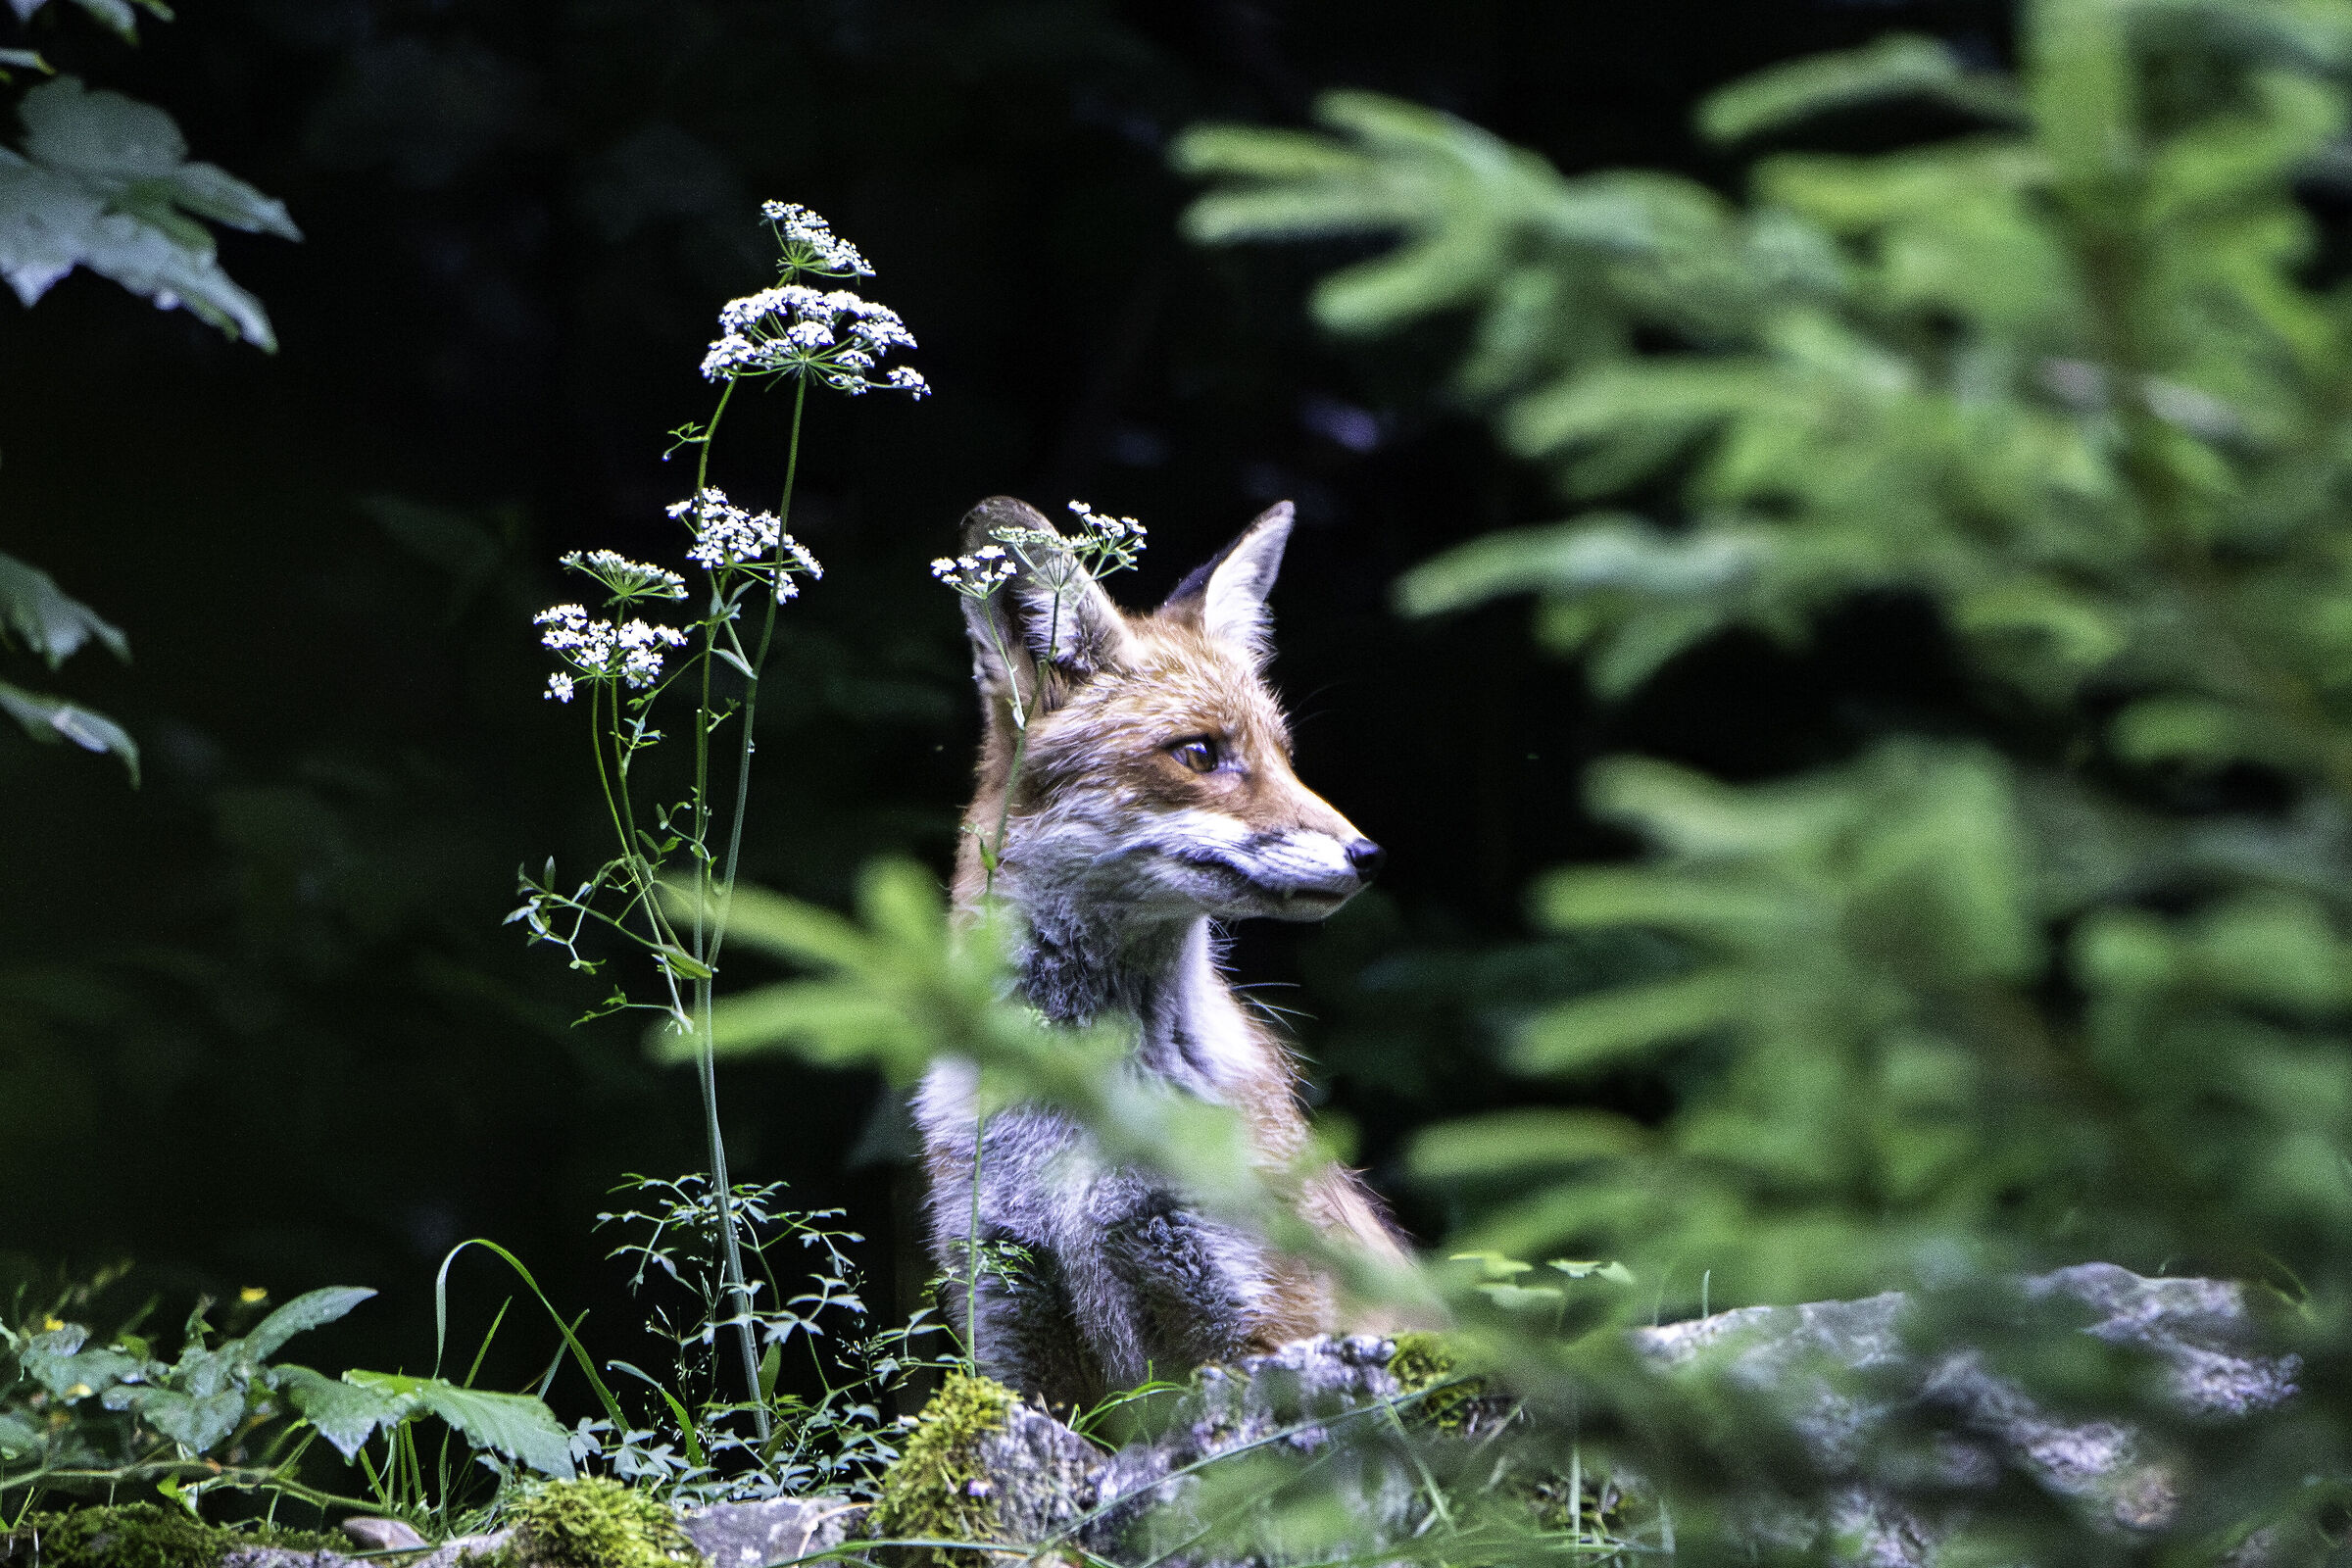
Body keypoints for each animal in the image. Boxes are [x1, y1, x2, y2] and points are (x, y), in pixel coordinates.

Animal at [915, 494, 1411, 1410]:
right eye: (1201, 753)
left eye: (1285, 757)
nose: (1368, 856)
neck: (1078, 1116)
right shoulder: (1009, 1324)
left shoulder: (1253, 1320)